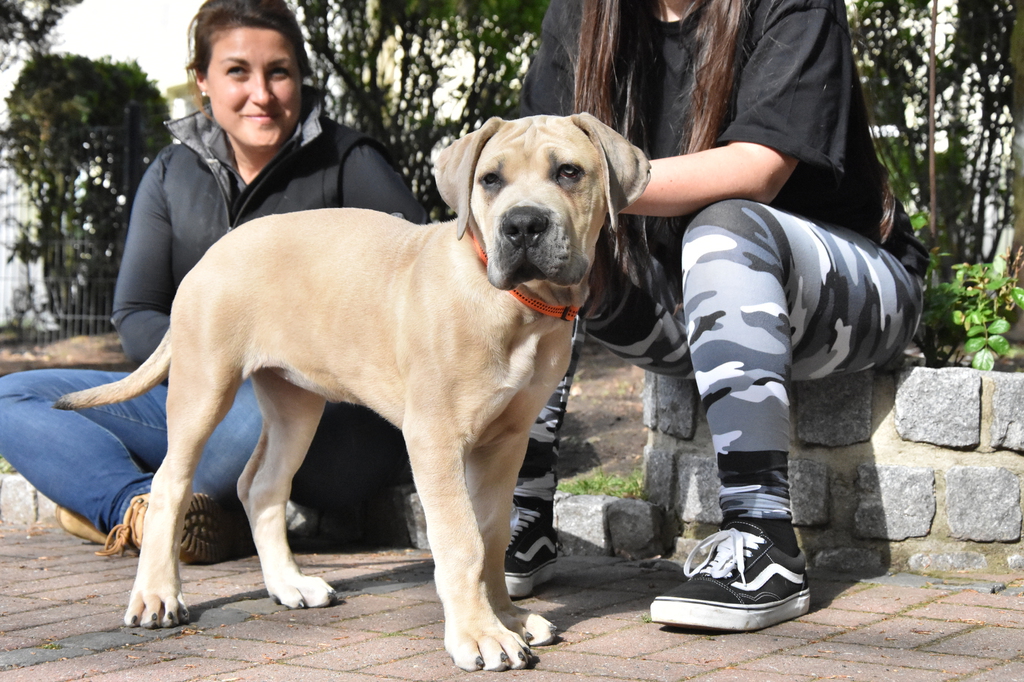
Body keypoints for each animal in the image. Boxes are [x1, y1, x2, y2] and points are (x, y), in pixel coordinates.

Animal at [54, 114, 650, 671]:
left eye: (568, 172)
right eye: (490, 180)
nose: (523, 224)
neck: (518, 306)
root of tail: (218, 245)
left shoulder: (507, 440)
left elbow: (492, 533)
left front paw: (507, 616)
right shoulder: (435, 438)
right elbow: (461, 540)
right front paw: (481, 634)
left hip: (296, 404)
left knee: (260, 486)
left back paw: (290, 584)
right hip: (204, 387)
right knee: (170, 484)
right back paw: (157, 596)